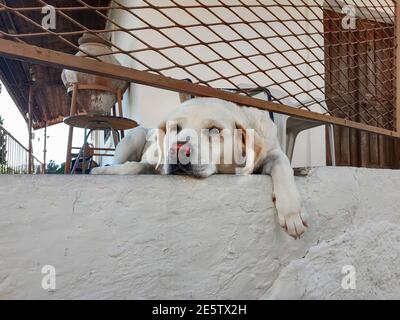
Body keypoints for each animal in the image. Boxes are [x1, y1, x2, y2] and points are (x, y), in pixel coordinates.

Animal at [92, 99, 308, 239]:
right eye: (175, 128)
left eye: (213, 130)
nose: (178, 149)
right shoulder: (153, 163)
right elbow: (136, 166)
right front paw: (107, 171)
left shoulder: (273, 152)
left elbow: (282, 165)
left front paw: (292, 212)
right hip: (134, 136)